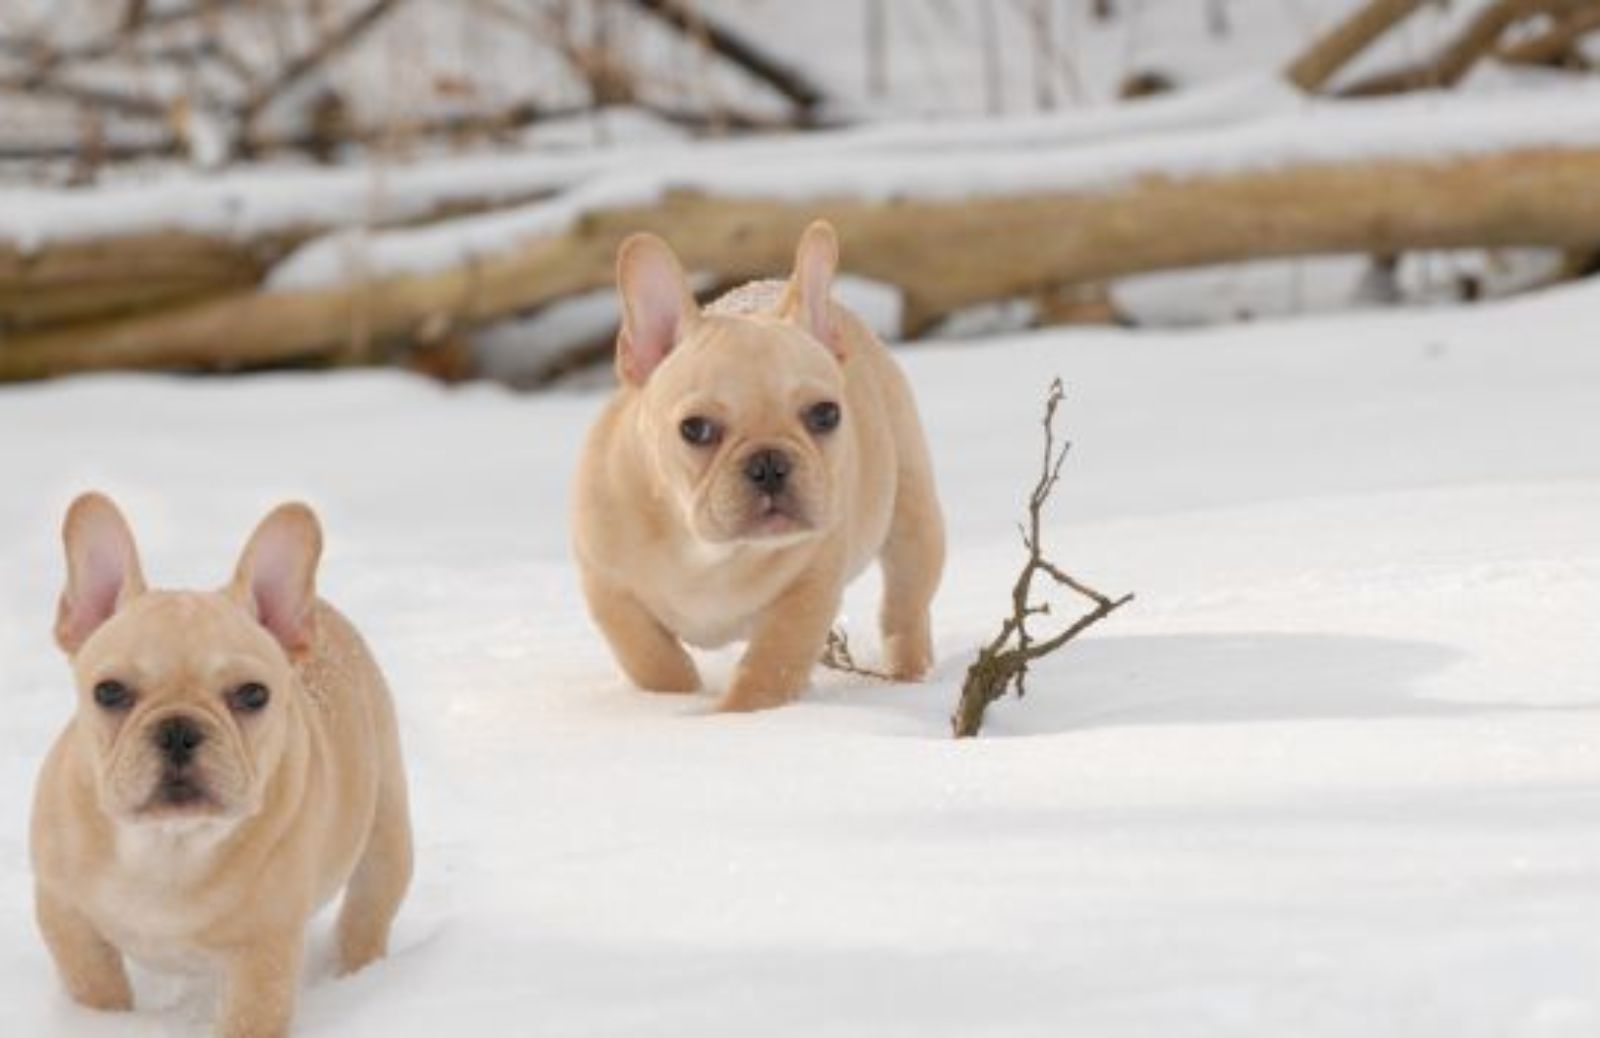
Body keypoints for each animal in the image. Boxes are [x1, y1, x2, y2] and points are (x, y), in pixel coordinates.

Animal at [31, 492, 412, 1036]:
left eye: (253, 695)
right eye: (109, 692)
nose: (178, 729)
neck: (168, 845)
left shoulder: (263, 952)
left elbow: (249, 1018)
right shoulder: (67, 919)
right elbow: (96, 990)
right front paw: (100, 1022)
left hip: (384, 840)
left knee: (366, 916)